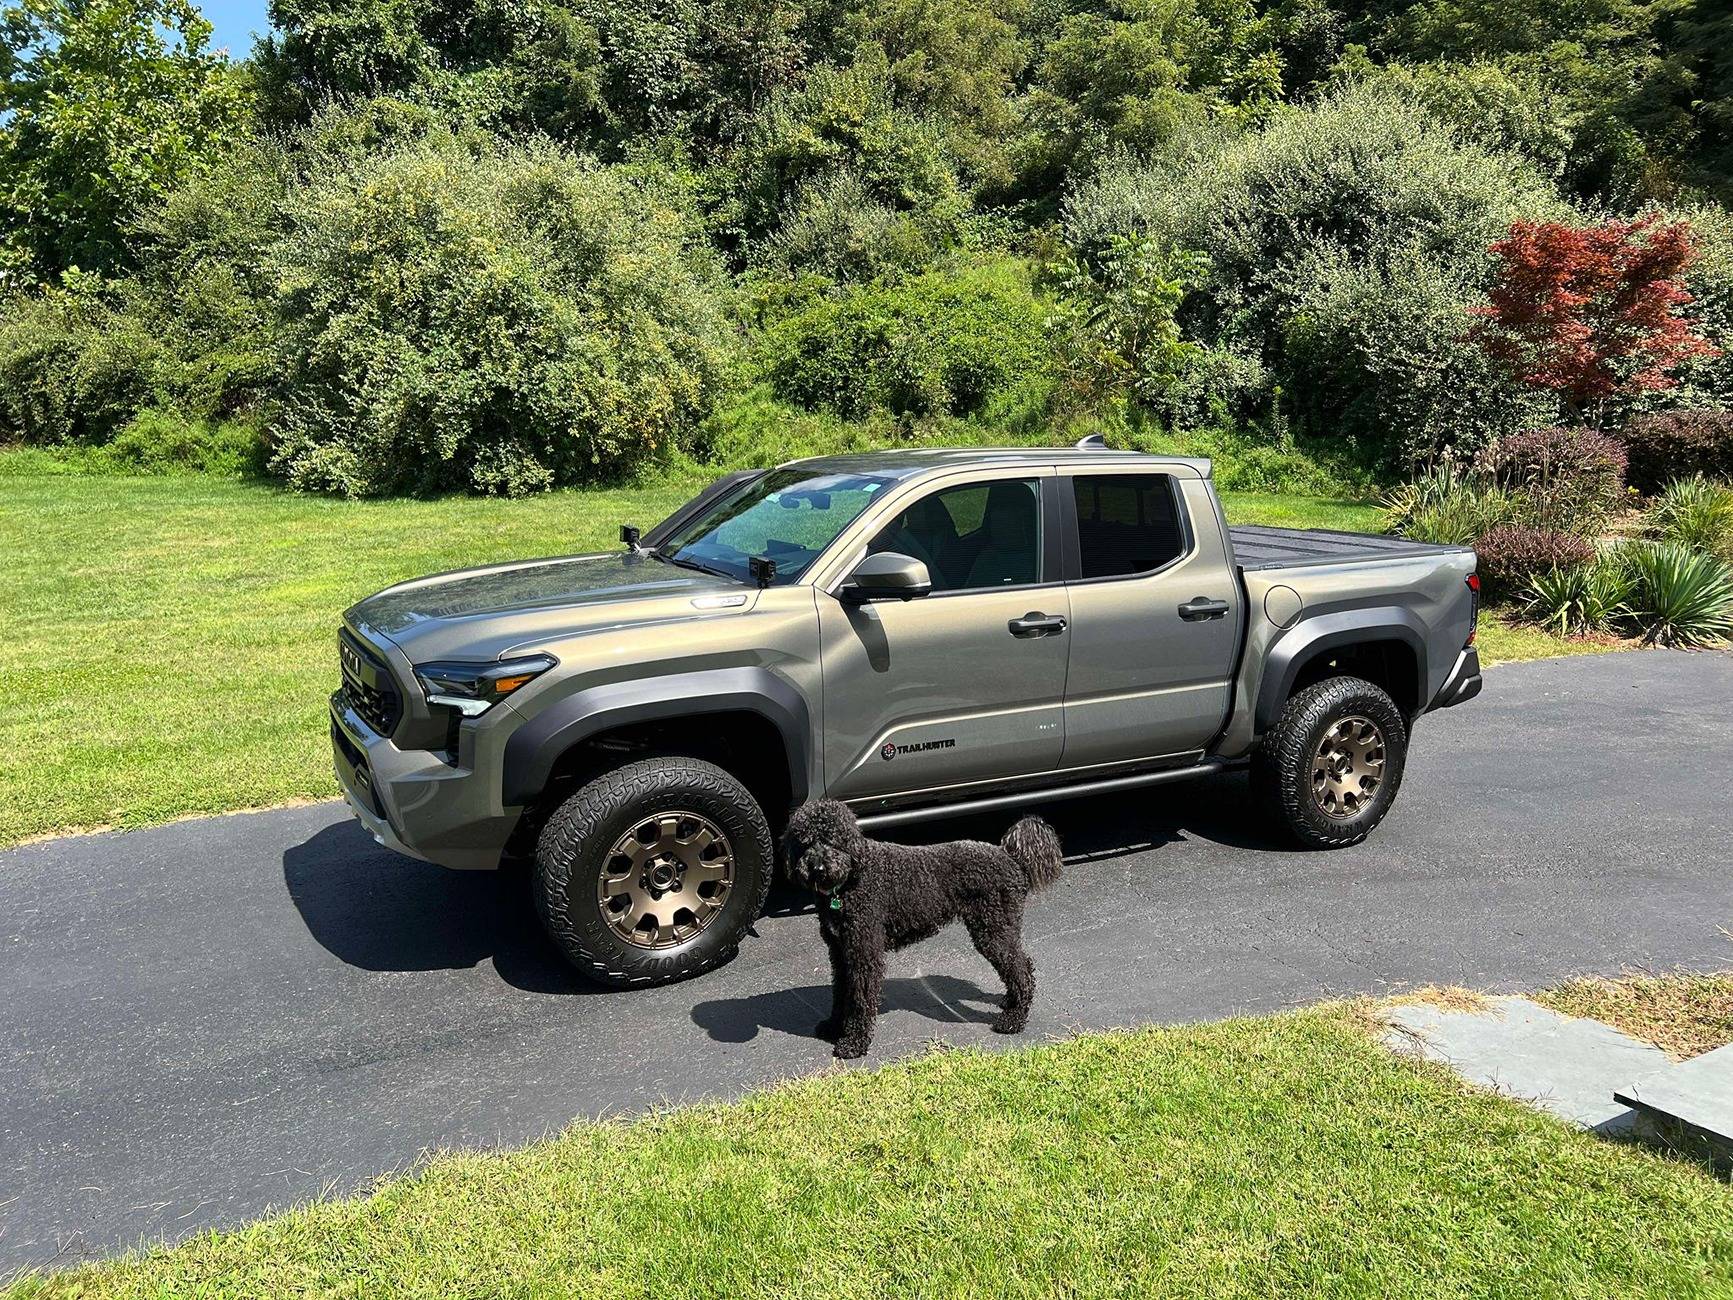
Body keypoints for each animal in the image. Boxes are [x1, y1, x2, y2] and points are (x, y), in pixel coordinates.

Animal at [783, 800, 1053, 1060]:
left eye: (832, 839)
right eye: (806, 842)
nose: (818, 868)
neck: (850, 879)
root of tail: (1011, 857)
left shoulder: (864, 953)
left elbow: (859, 999)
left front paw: (853, 1043)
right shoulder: (840, 952)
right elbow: (840, 992)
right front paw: (833, 1026)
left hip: (994, 930)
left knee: (1021, 970)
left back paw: (1014, 1019)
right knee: (1020, 966)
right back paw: (1011, 1001)